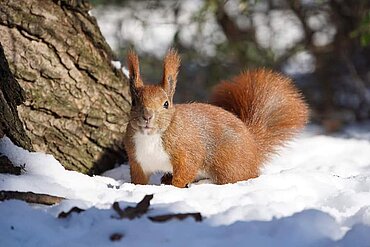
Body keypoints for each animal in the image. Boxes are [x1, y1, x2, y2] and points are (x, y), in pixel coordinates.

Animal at [123, 48, 308, 187]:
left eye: (166, 104)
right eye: (134, 102)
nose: (147, 116)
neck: (150, 137)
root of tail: (253, 144)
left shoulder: (187, 150)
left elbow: (186, 169)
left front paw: (176, 186)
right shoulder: (137, 160)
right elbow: (139, 179)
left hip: (228, 163)